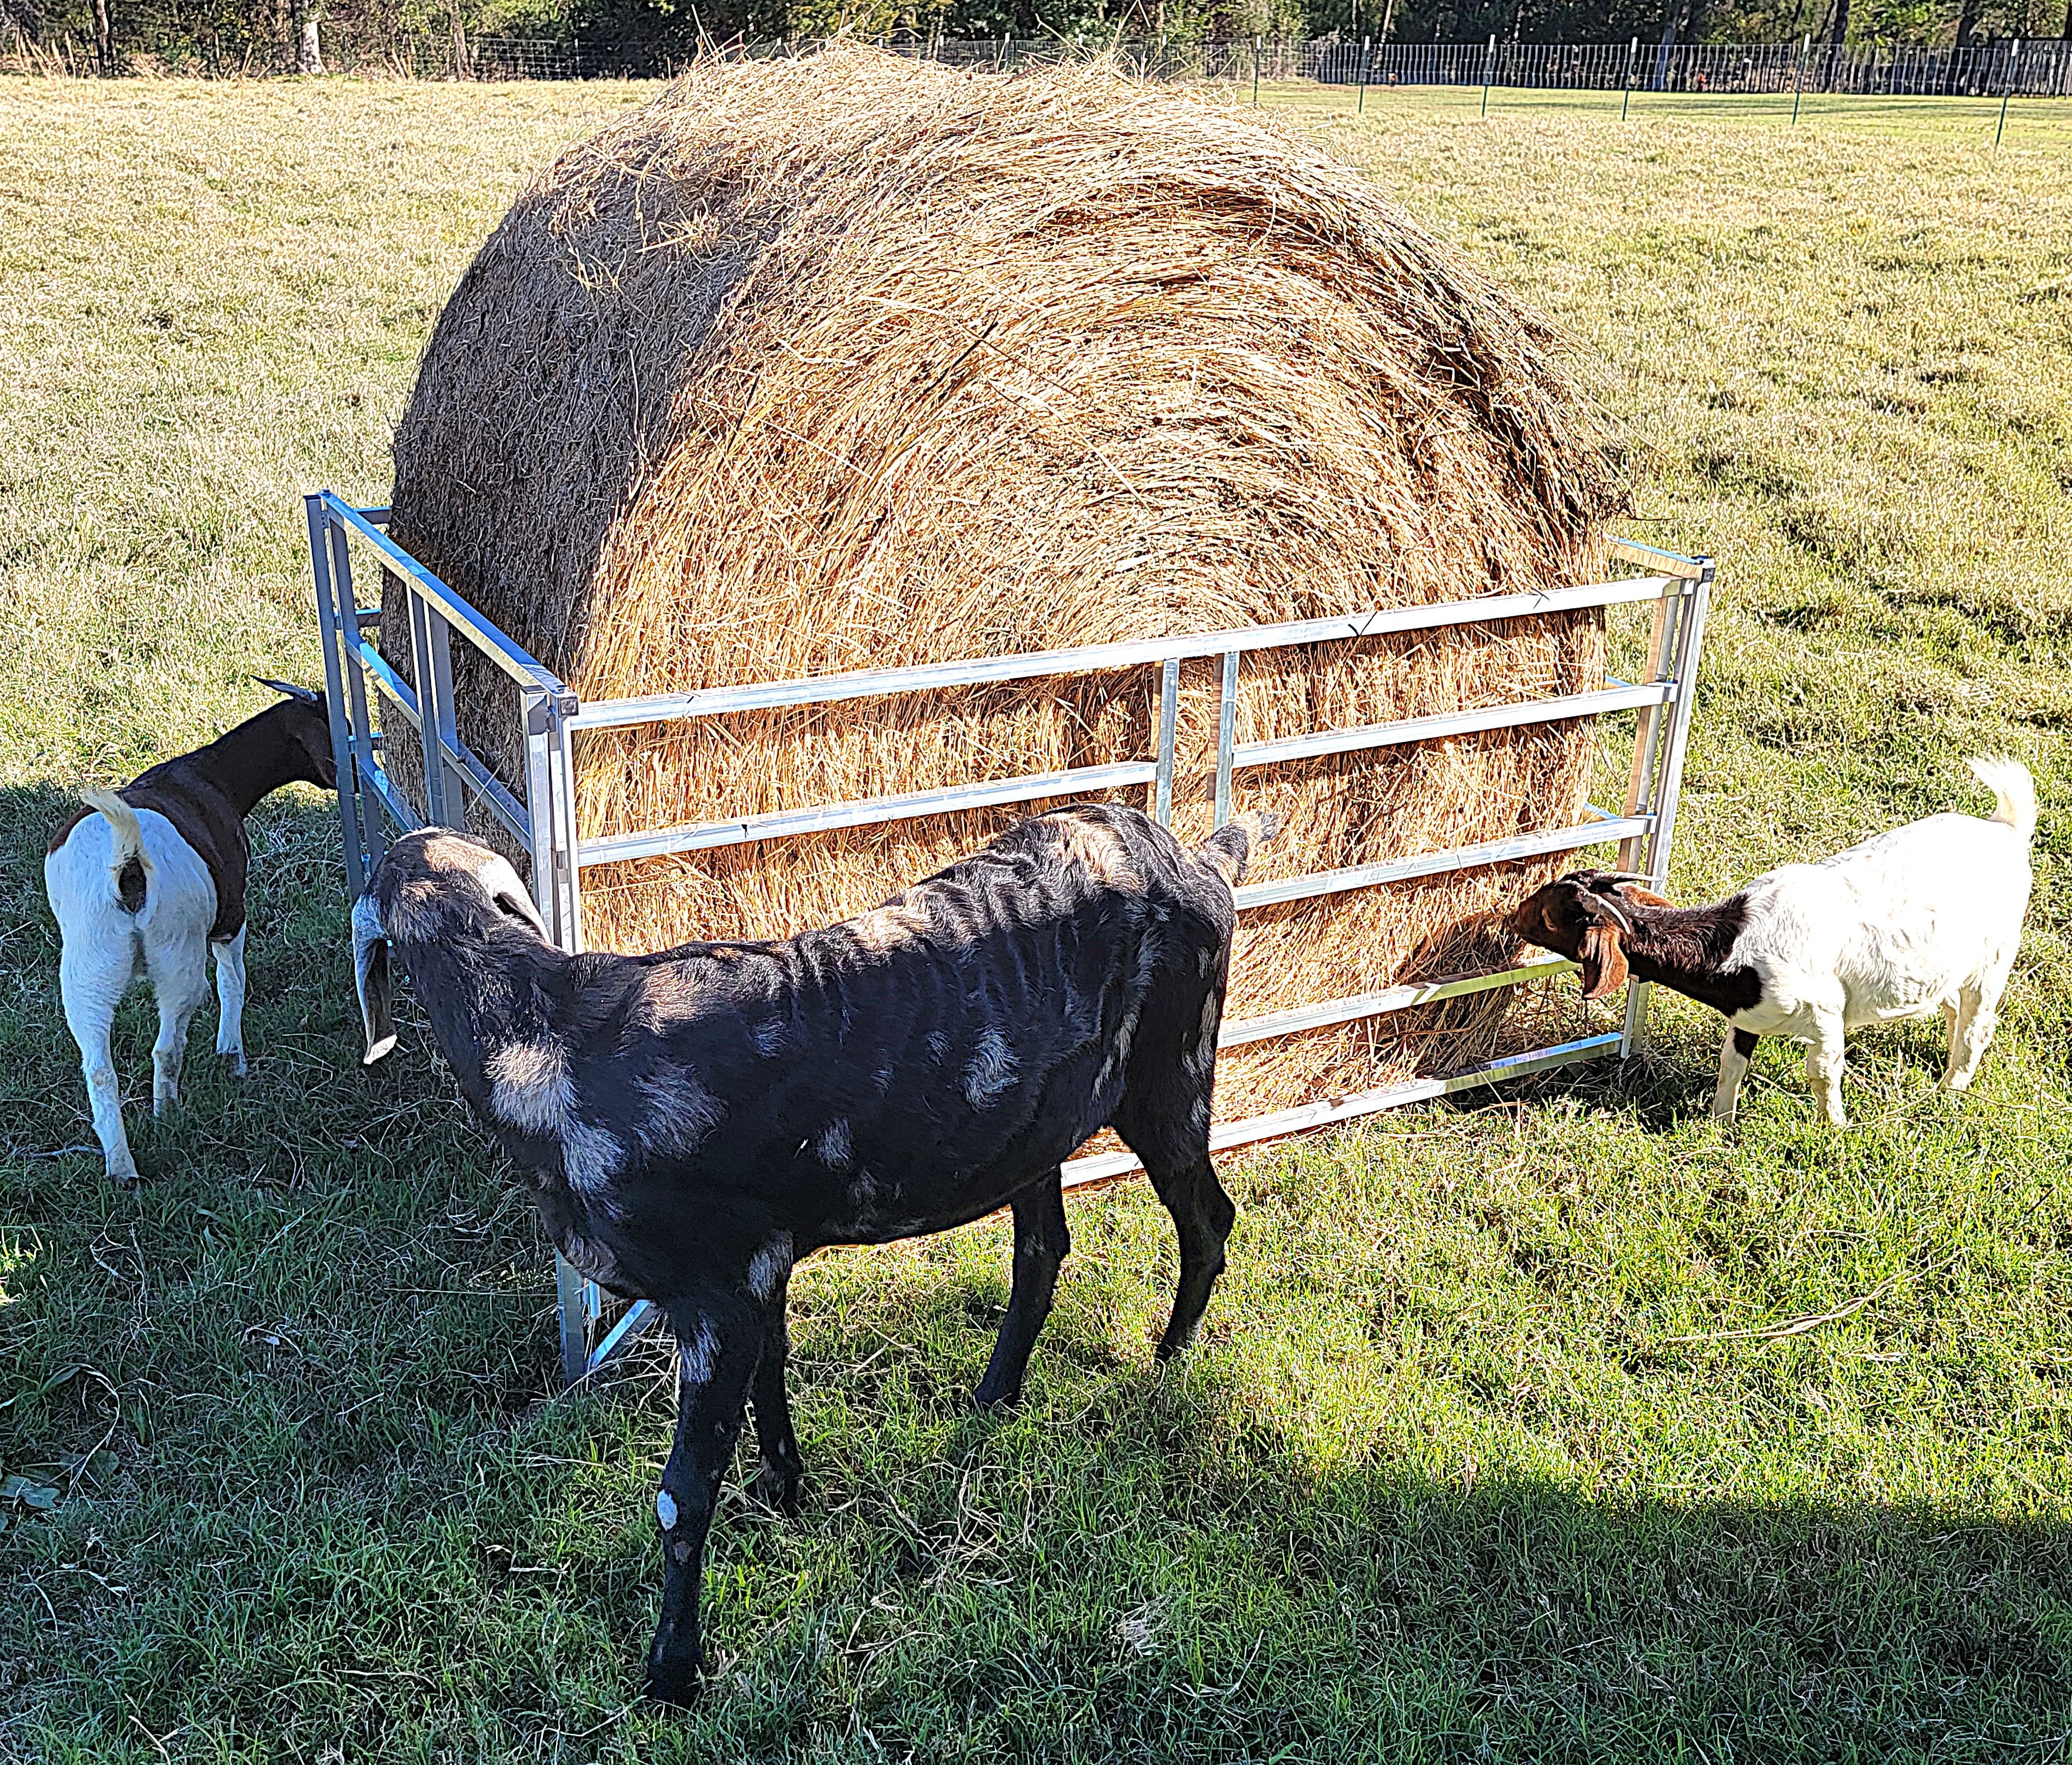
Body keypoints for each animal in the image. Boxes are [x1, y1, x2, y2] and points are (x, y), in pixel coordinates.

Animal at [44, 681, 338, 1185]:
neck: (207, 778)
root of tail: (127, 861)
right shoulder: (231, 918)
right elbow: (234, 982)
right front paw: (232, 1057)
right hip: (176, 957)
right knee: (168, 1046)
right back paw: (168, 1116)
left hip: (87, 971)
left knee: (100, 1070)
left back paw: (121, 1168)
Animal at [349, 803, 1258, 1703]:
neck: (548, 1039)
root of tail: (1200, 857)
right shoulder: (761, 1266)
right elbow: (771, 1376)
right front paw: (784, 1493)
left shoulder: (715, 1289)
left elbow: (682, 1495)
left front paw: (672, 1675)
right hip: (1033, 1128)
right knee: (1042, 1248)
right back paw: (993, 1398)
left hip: (1175, 1070)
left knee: (1209, 1219)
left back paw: (1167, 1363)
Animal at [1507, 757, 2036, 1127]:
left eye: (1551, 919)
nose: (1512, 918)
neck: (1733, 947)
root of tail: (2006, 830)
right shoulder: (1746, 1017)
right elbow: (1731, 1065)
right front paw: (1719, 1124)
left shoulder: (1825, 1013)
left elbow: (1824, 1073)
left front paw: (1834, 1128)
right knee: (1952, 1005)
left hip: (1995, 959)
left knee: (1977, 1025)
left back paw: (1950, 1090)